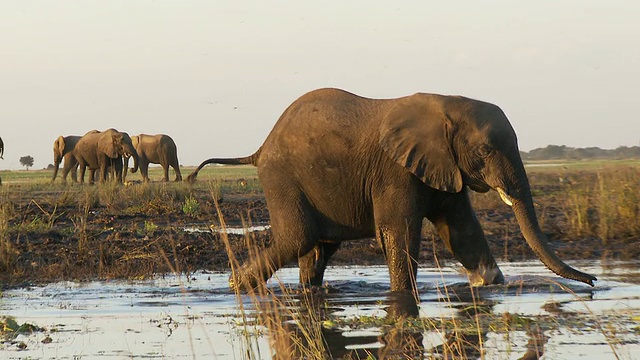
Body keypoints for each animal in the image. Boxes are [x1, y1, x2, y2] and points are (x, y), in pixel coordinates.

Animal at [188, 87, 596, 292]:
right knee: (298, 238)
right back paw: (235, 286)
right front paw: (402, 296)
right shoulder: (394, 170)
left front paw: (489, 286)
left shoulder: (442, 165)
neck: (446, 105)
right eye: (484, 151)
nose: (594, 281)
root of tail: (260, 147)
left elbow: (463, 232)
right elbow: (397, 233)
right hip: (283, 177)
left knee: (318, 248)